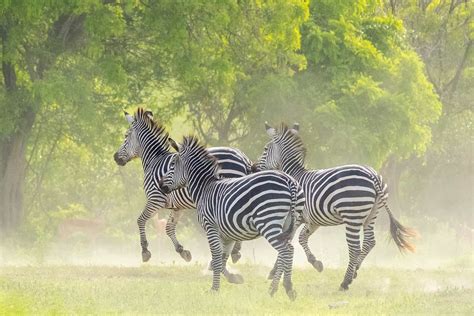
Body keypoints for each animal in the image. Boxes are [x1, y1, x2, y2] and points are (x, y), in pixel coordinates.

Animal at [113, 108, 254, 264]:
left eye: (126, 136)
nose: (115, 157)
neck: (154, 160)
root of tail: (243, 158)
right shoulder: (177, 207)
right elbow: (168, 228)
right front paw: (182, 251)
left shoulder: (155, 199)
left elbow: (140, 220)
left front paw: (145, 250)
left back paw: (234, 251)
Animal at [159, 136, 306, 298]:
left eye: (172, 164)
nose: (160, 184)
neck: (205, 188)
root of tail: (289, 181)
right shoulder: (227, 234)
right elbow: (223, 257)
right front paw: (231, 278)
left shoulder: (211, 227)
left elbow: (217, 256)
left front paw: (214, 289)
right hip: (290, 224)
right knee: (286, 252)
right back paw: (278, 287)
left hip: (268, 222)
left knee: (286, 251)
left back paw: (283, 288)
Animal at [254, 122, 416, 290]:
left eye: (265, 149)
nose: (254, 169)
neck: (295, 176)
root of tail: (372, 175)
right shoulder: (314, 221)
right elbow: (301, 238)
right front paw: (315, 262)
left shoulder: (296, 218)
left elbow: (289, 240)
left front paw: (274, 271)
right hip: (372, 214)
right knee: (369, 242)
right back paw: (355, 270)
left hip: (352, 217)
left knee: (354, 248)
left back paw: (345, 282)